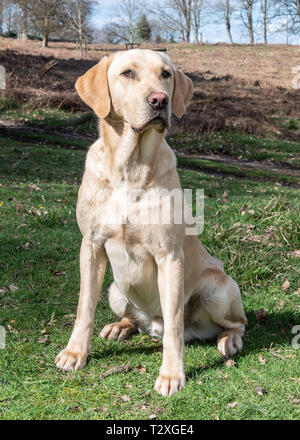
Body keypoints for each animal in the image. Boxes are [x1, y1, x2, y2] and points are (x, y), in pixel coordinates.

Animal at [55, 49, 246, 398]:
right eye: (128, 73)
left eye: (165, 74)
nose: (159, 100)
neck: (129, 168)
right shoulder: (91, 246)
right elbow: (84, 308)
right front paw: (76, 353)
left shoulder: (169, 256)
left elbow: (174, 325)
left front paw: (172, 374)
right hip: (116, 290)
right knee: (133, 317)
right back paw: (121, 327)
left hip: (218, 288)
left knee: (234, 322)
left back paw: (230, 340)